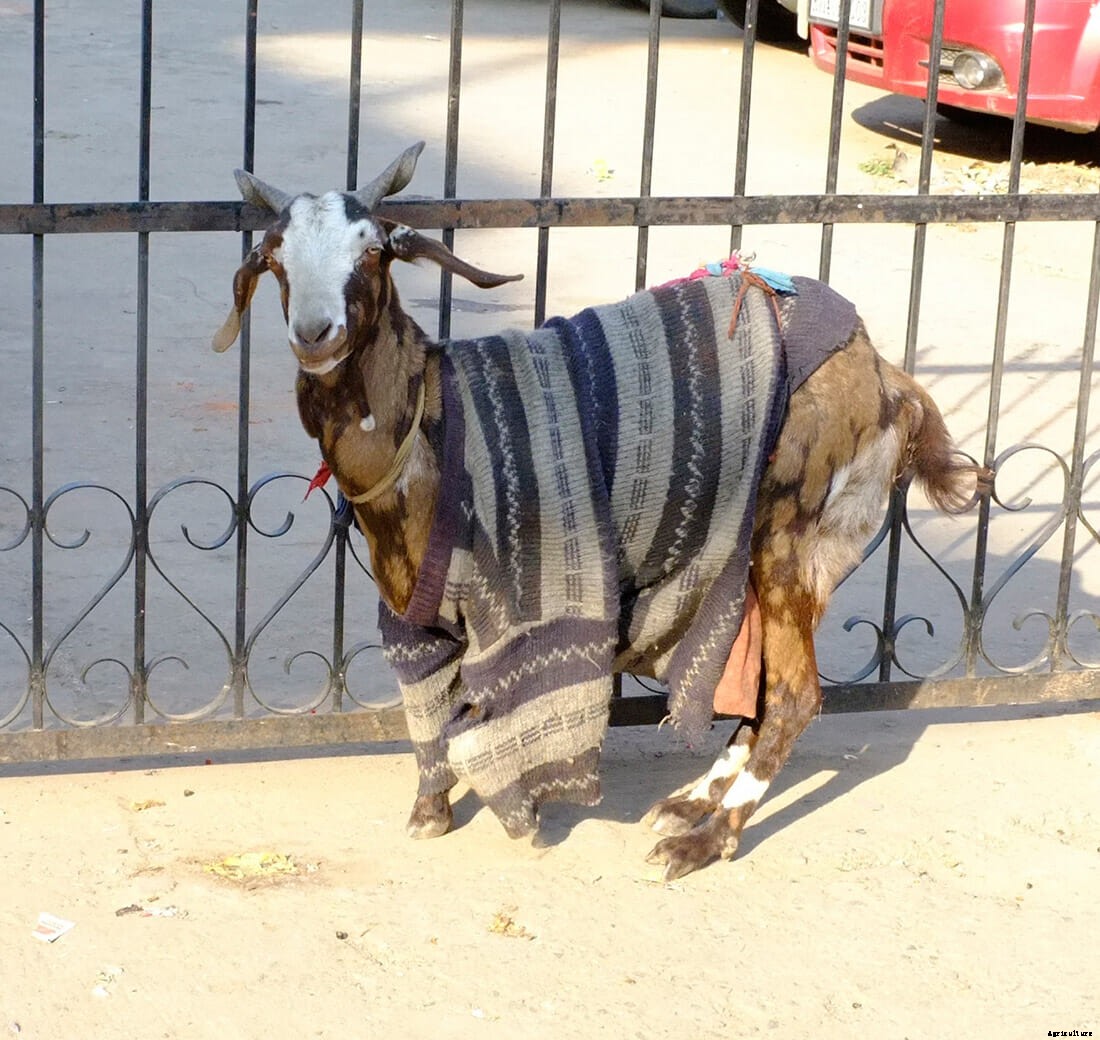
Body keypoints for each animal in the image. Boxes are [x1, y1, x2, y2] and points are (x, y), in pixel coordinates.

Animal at [213, 142, 978, 880]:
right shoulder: (414, 609)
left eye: (372, 249)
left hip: (788, 535)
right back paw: (689, 804)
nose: (316, 333)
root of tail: (886, 380)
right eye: (275, 256)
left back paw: (704, 842)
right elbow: (428, 706)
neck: (429, 413)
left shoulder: (510, 607)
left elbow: (488, 721)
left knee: (795, 695)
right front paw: (429, 810)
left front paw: (520, 818)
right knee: (761, 686)